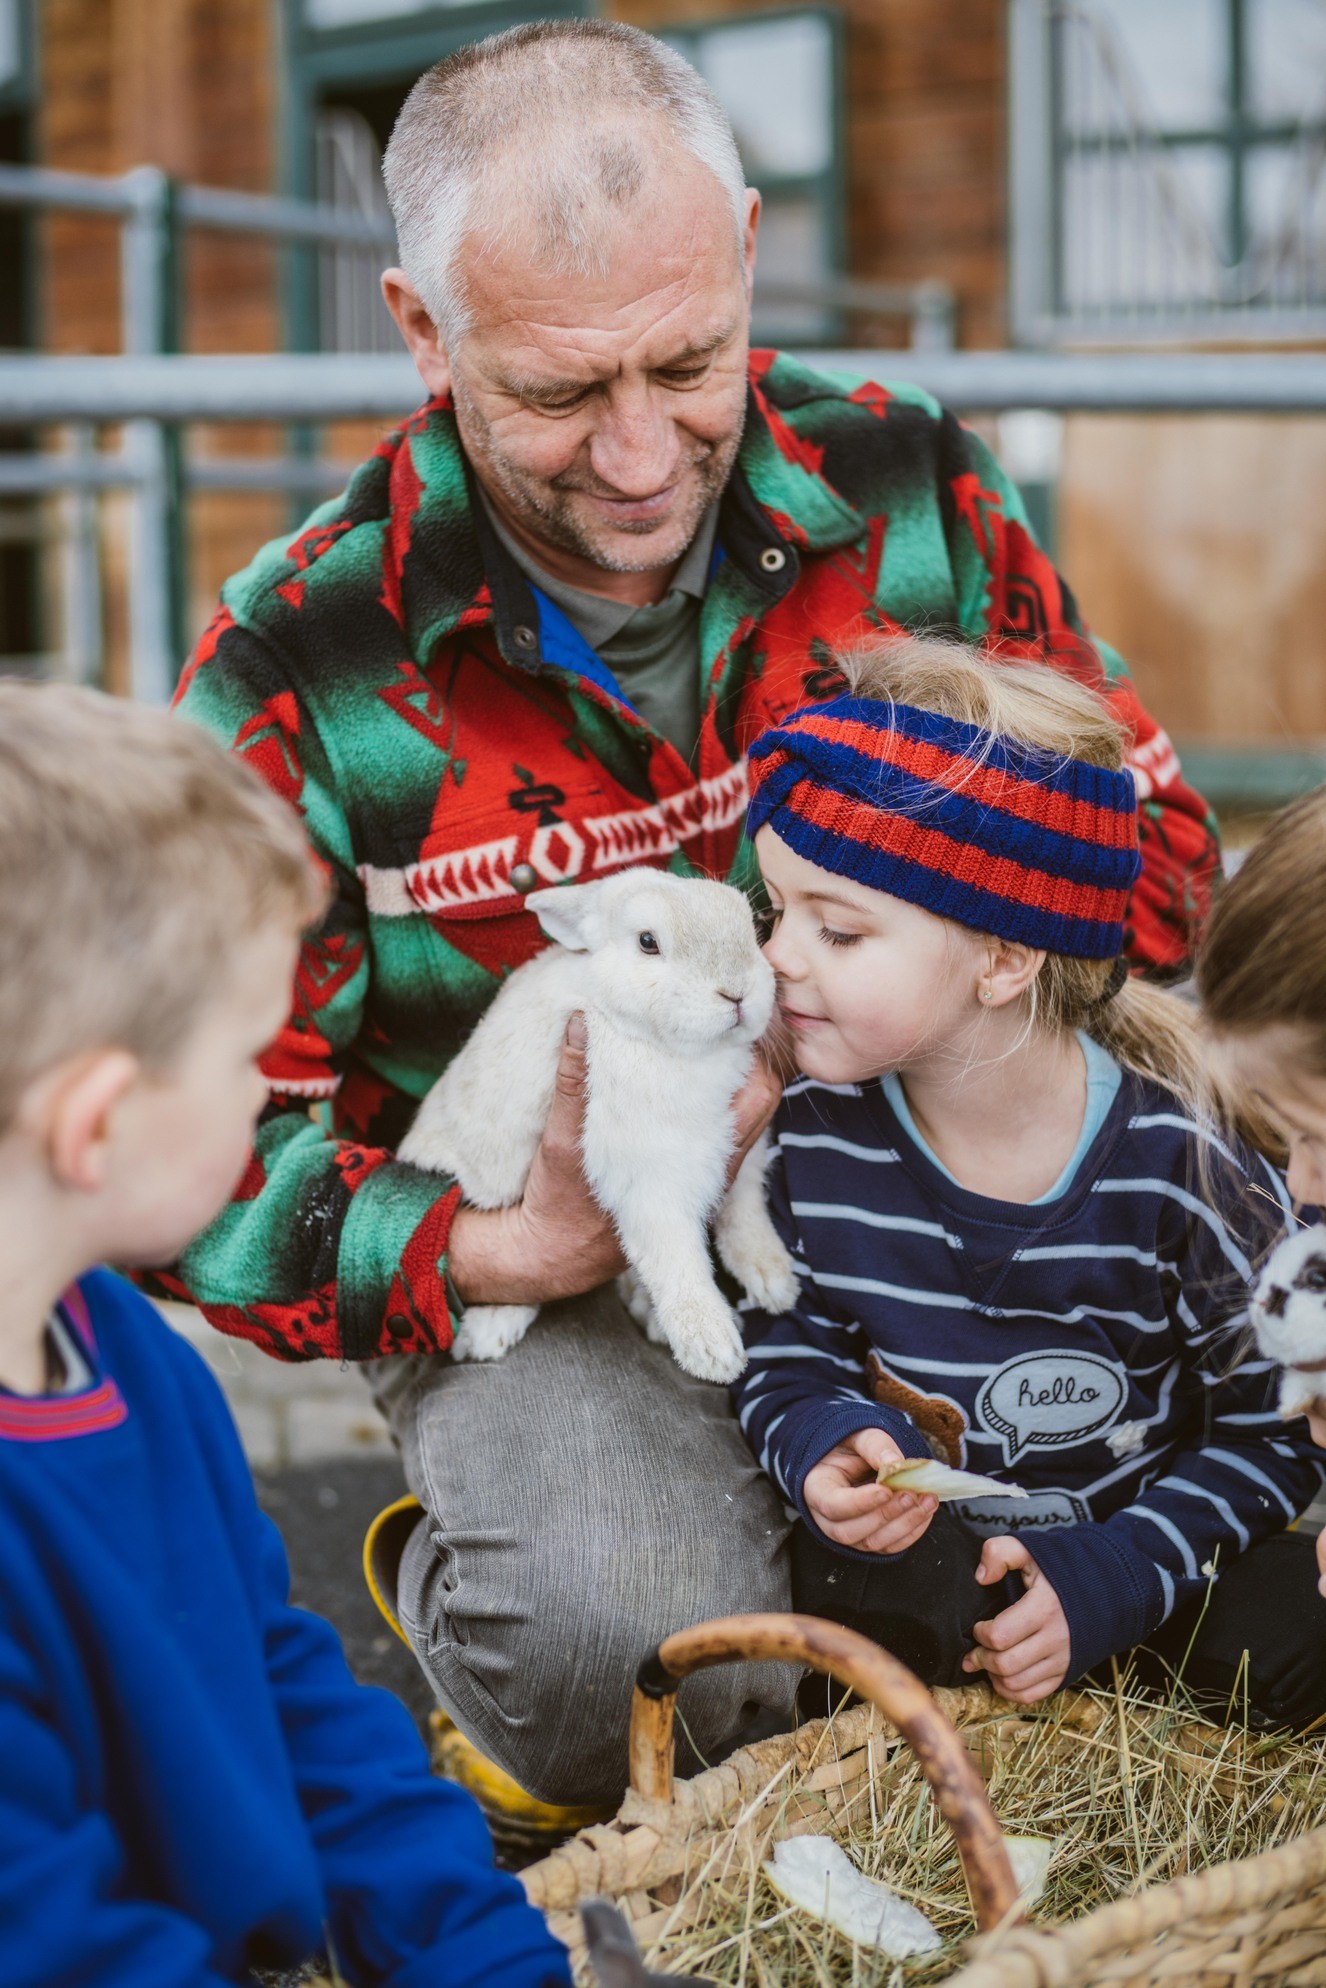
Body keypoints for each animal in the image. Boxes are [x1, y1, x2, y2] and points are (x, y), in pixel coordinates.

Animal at [399, 870, 799, 1383]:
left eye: (749, 924)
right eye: (648, 941)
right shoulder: (650, 1174)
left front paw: (773, 1278)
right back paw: (489, 1332)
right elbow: (674, 1254)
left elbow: (744, 1210)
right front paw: (712, 1348)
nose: (737, 993)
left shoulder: (740, 1152)